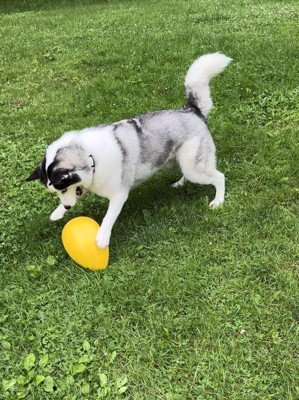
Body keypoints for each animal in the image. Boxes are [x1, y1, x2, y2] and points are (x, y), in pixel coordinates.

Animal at [26, 52, 232, 247]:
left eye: (62, 188)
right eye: (57, 192)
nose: (68, 208)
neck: (91, 157)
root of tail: (192, 110)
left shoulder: (119, 195)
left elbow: (108, 217)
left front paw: (102, 237)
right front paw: (57, 212)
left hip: (193, 166)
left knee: (219, 177)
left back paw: (218, 201)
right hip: (174, 161)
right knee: (188, 173)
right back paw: (180, 183)